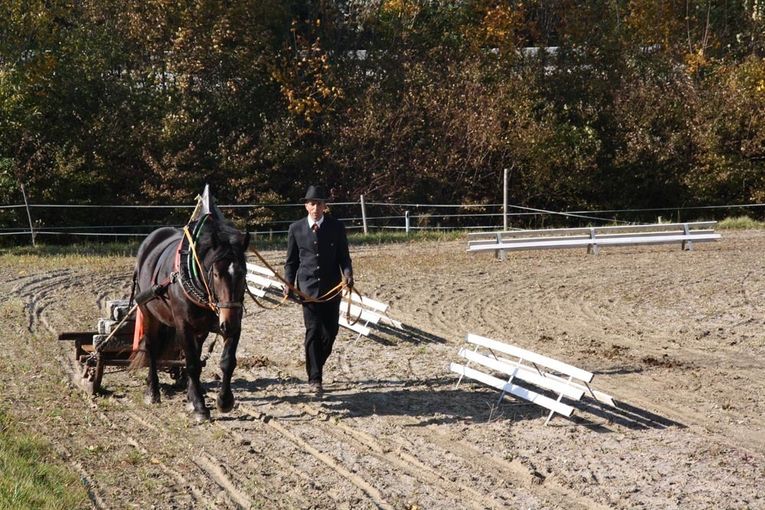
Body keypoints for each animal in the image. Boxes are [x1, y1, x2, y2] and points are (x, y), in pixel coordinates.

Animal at [130, 216, 249, 422]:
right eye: (216, 274)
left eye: (244, 273)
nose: (229, 323)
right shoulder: (183, 326)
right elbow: (192, 364)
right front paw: (200, 407)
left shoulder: (232, 324)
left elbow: (227, 362)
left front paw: (224, 401)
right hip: (149, 314)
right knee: (152, 348)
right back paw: (153, 391)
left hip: (201, 329)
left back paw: (189, 395)